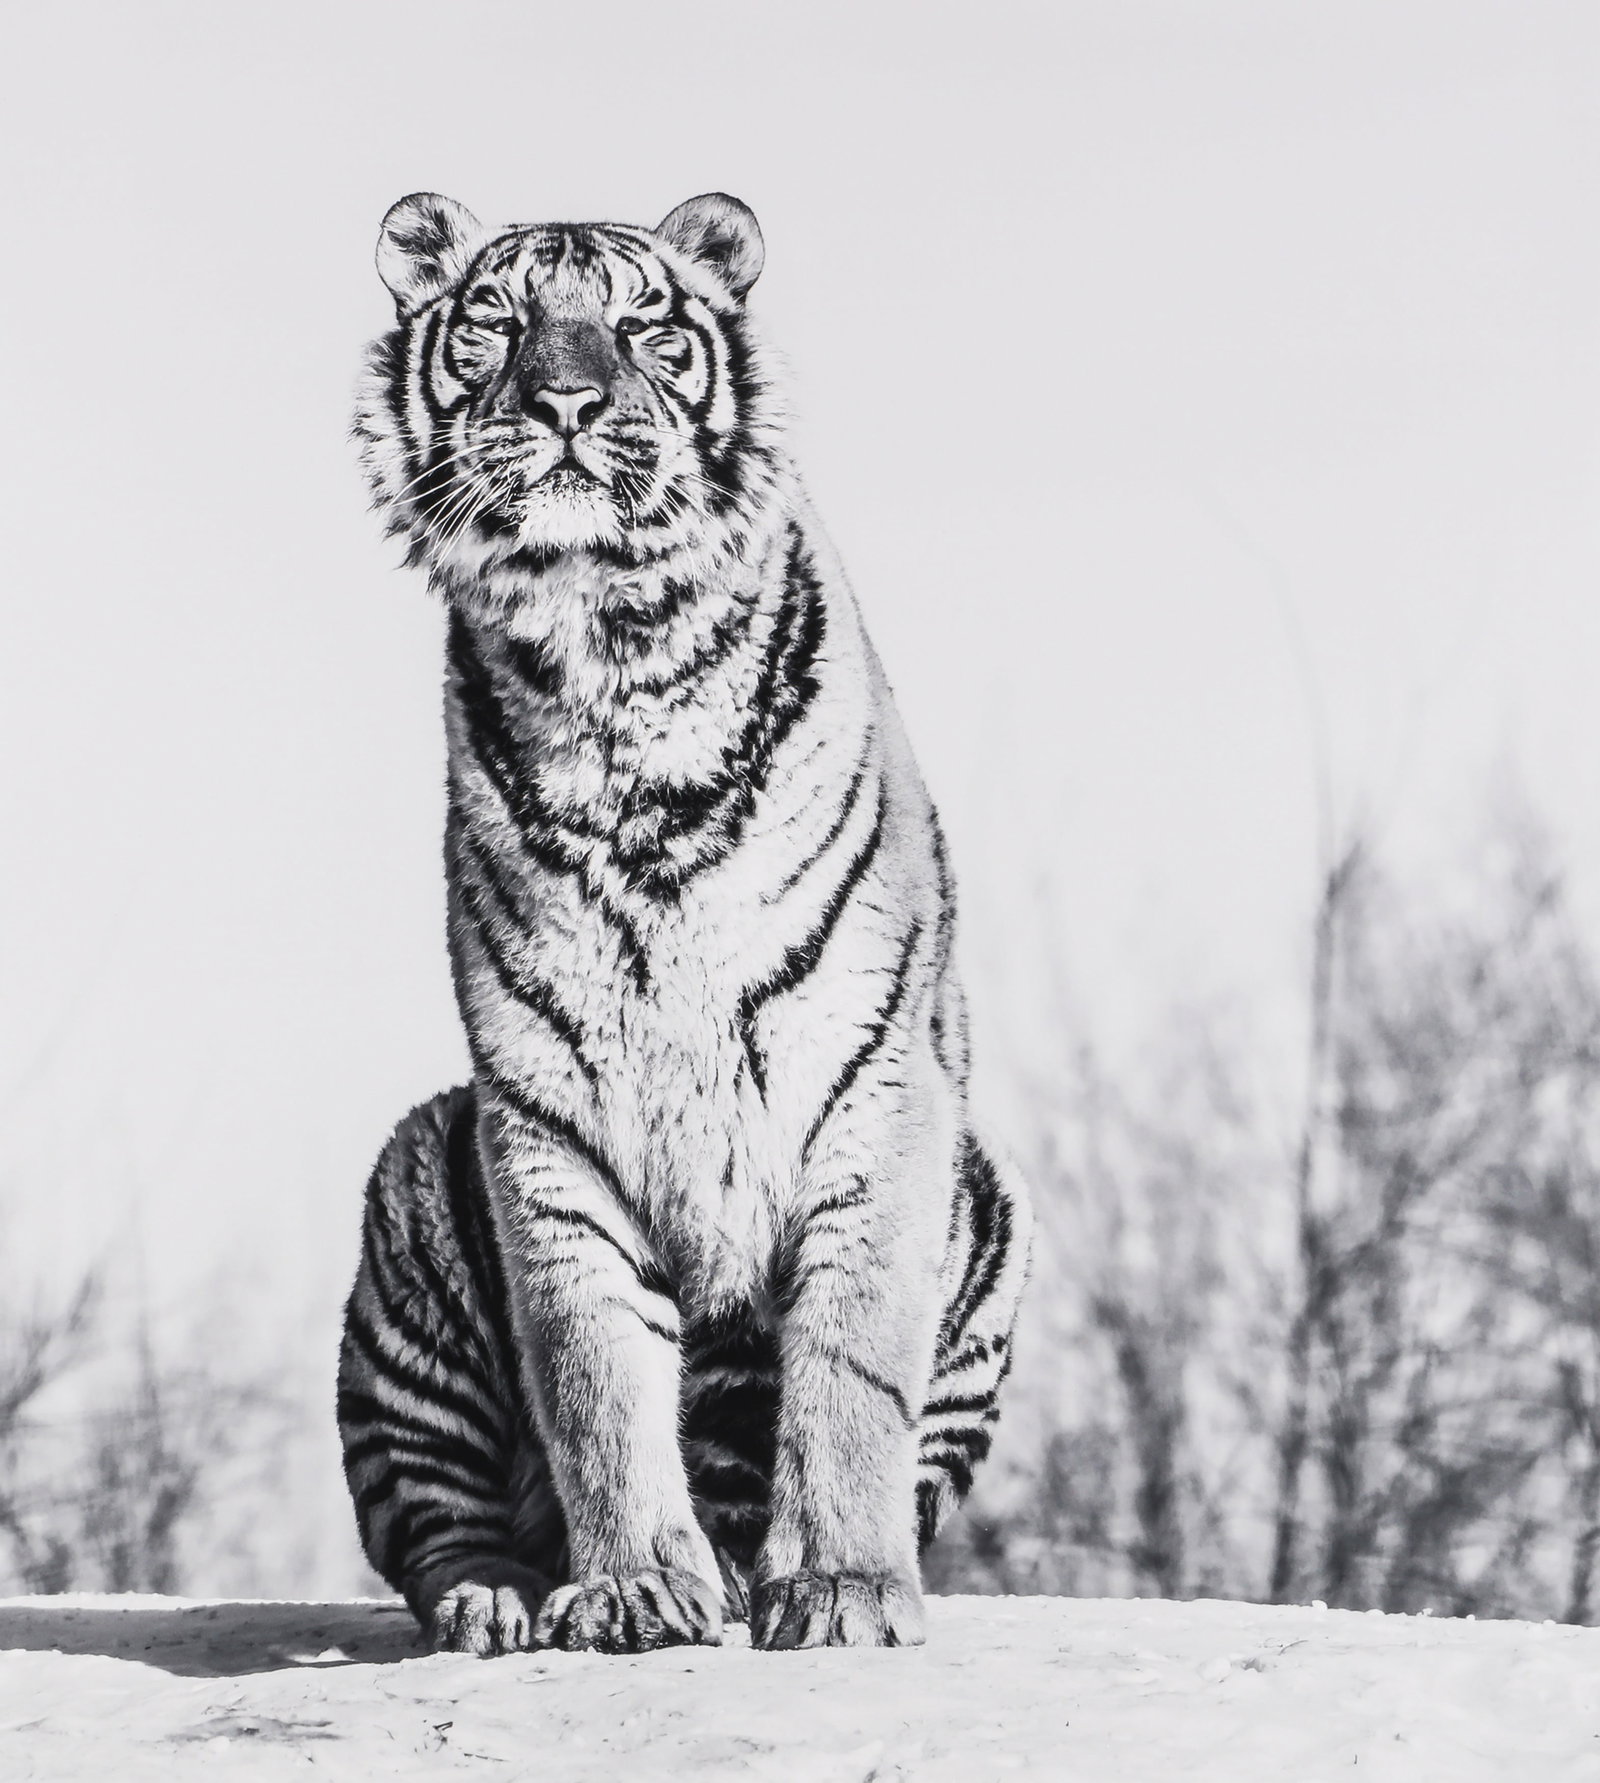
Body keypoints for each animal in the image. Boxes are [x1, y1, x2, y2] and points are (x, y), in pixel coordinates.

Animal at [338, 191, 1031, 1655]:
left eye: (642, 321)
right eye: (497, 321)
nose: (566, 398)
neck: (611, 665)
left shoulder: (874, 1083)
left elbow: (848, 1364)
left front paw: (840, 1586)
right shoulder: (544, 1110)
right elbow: (592, 1364)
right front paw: (636, 1588)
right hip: (416, 1194)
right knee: (427, 1522)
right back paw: (499, 1595)